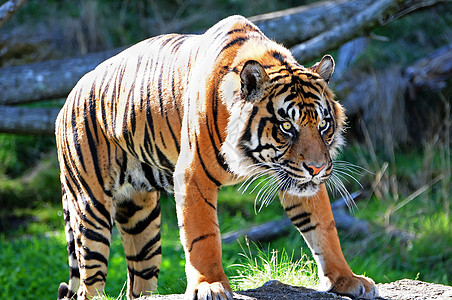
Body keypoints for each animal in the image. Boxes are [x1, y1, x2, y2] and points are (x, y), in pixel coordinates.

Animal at [55, 15, 378, 300]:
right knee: (88, 284)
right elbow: (203, 237)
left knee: (139, 282)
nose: (317, 168)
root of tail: (68, 99)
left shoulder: (296, 178)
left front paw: (346, 279)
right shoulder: (192, 176)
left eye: (323, 125)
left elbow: (324, 228)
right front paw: (210, 285)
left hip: (139, 217)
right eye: (287, 126)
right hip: (91, 209)